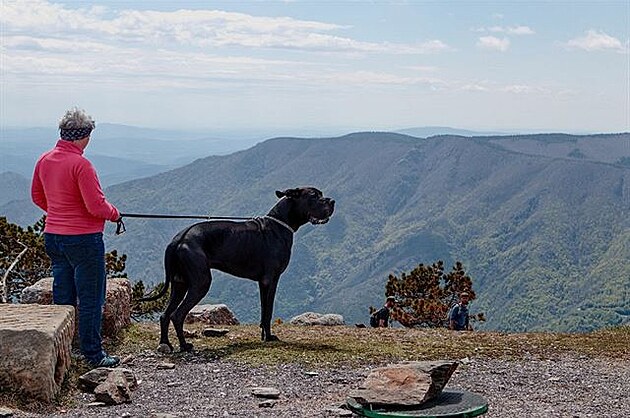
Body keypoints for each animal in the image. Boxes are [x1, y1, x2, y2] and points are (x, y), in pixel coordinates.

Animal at [138, 187, 336, 352]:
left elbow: (263, 311)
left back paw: (165, 344)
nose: (332, 201)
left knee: (165, 314)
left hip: (179, 283)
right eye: (314, 196)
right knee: (177, 315)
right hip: (200, 282)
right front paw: (270, 337)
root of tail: (177, 240)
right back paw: (185, 346)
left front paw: (264, 336)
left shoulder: (262, 283)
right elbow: (268, 311)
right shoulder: (271, 280)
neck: (280, 224)